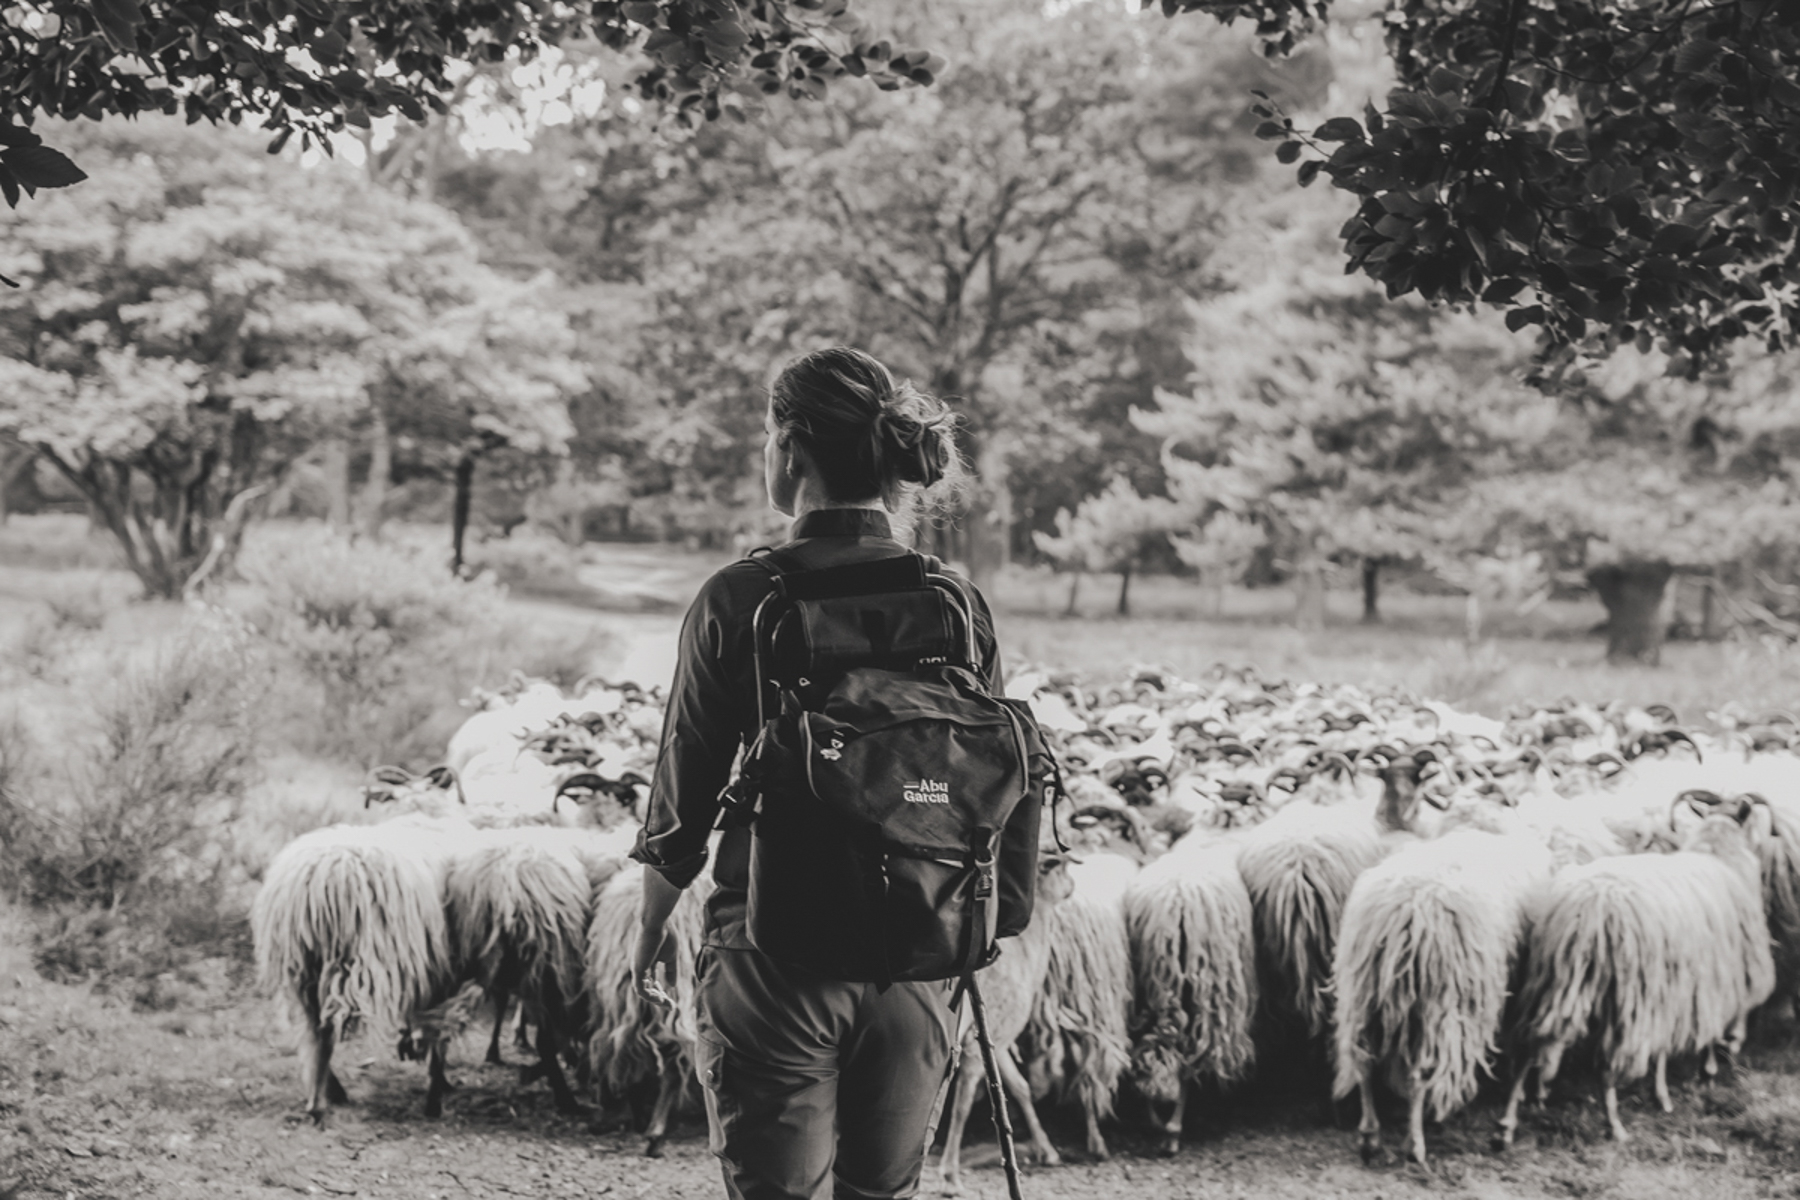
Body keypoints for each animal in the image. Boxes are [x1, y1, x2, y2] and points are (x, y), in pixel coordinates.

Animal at [1497, 791, 1778, 1151]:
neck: (1720, 854)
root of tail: (1589, 906)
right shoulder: (1708, 983)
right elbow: (1703, 1037)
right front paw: (1705, 1074)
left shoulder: (1672, 989)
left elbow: (1660, 1049)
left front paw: (1663, 1095)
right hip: (1625, 998)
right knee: (1605, 1065)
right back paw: (1614, 1125)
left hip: (1556, 977)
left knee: (1527, 1048)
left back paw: (1507, 1125)